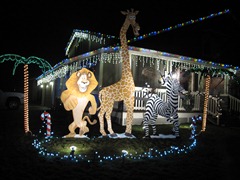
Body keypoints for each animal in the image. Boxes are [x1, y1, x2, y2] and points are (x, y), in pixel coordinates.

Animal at [97, 8, 140, 137]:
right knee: (103, 114)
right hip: (108, 102)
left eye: (135, 17)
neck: (127, 74)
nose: (138, 28)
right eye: (130, 17)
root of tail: (101, 92)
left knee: (103, 114)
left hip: (107, 102)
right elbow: (130, 114)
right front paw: (128, 133)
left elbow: (130, 114)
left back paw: (109, 133)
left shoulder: (129, 97)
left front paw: (127, 132)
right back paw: (108, 133)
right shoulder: (129, 96)